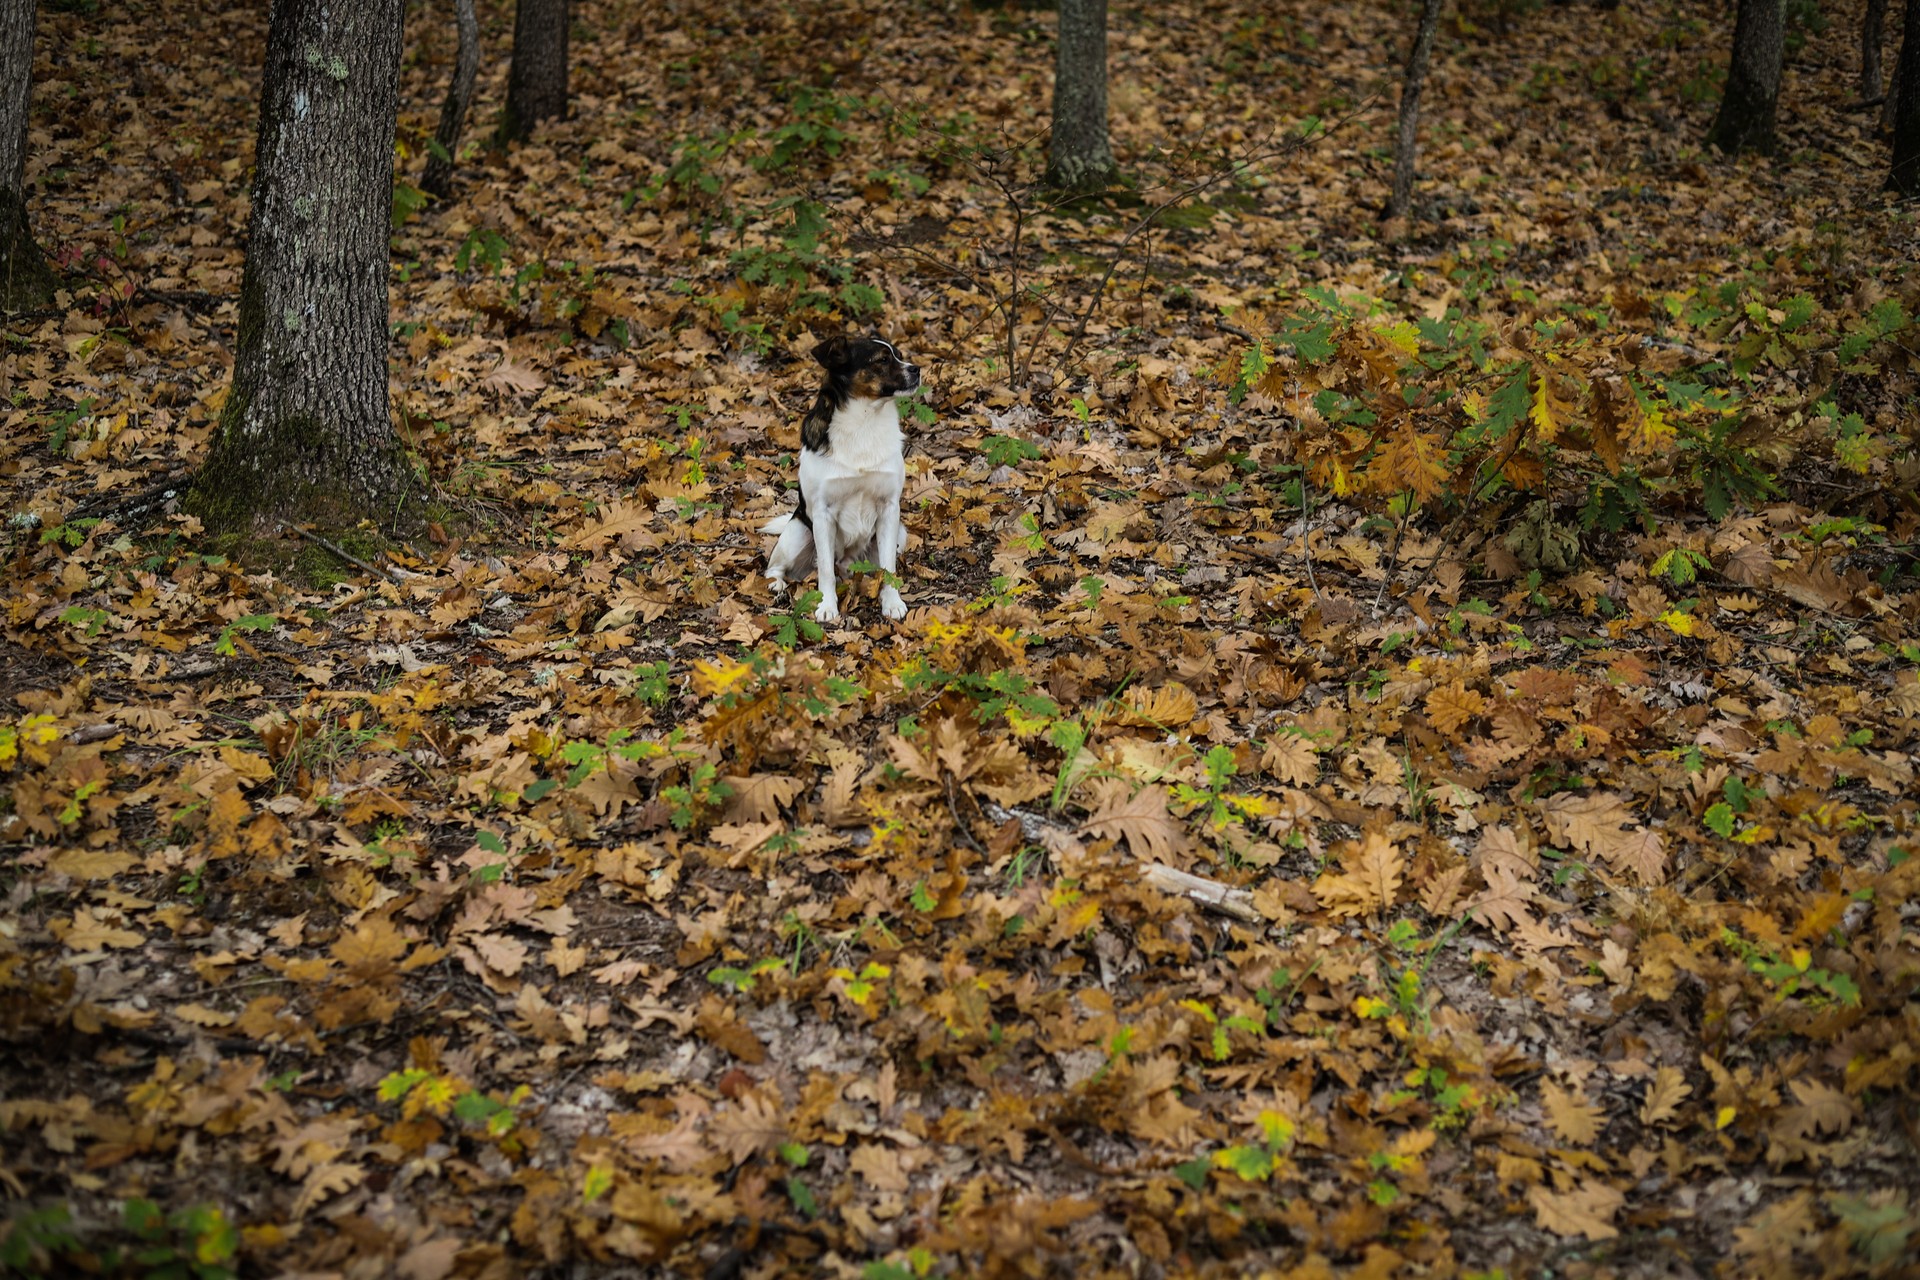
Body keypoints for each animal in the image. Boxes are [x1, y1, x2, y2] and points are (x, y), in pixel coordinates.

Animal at [760, 335, 917, 625]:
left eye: (899, 355)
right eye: (882, 360)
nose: (916, 369)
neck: (865, 422)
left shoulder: (890, 510)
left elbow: (888, 568)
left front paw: (892, 602)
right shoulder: (822, 515)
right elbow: (825, 570)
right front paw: (826, 605)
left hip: (900, 534)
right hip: (796, 533)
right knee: (775, 567)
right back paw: (776, 584)